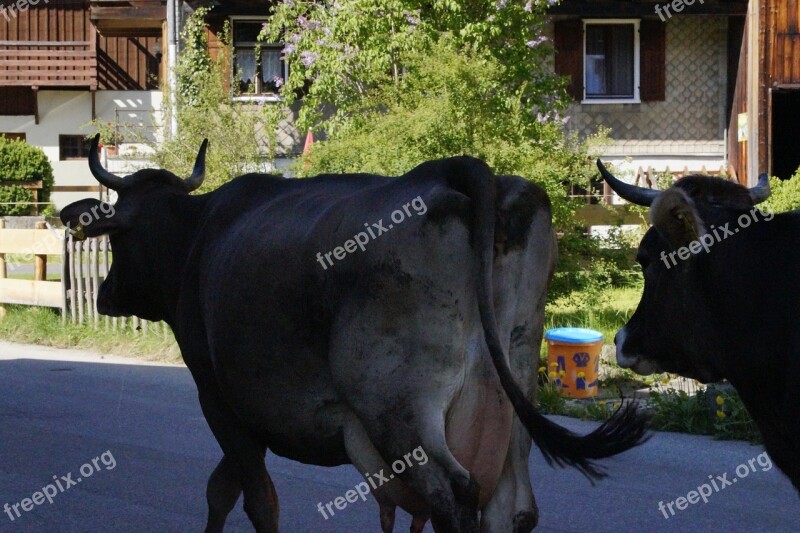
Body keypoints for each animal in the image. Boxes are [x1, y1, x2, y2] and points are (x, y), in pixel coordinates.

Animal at [61, 138, 648, 532]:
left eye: (117, 239)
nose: (106, 295)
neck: (195, 236)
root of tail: (461, 170)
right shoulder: (248, 412)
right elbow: (223, 490)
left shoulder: (218, 396)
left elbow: (253, 499)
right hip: (511, 394)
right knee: (514, 506)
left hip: (397, 407)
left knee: (454, 494)